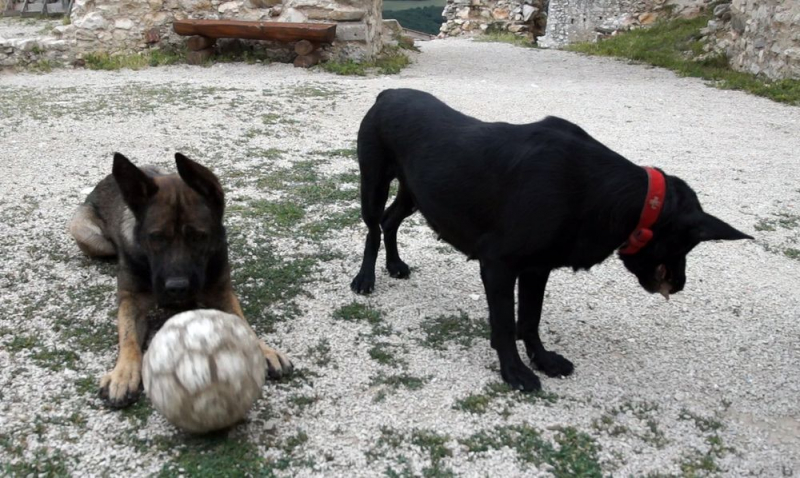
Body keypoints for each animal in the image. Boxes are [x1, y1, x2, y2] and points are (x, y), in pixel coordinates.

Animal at [69, 153, 292, 408]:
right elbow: (129, 338)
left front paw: (265, 350)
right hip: (88, 234)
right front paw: (123, 373)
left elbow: (243, 324)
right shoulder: (131, 301)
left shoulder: (220, 293)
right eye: (155, 238)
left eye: (199, 237)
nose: (177, 288)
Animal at [350, 89, 752, 392]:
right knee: (373, 227)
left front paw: (542, 359)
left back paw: (394, 265)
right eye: (686, 245)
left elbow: (530, 319)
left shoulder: (536, 268)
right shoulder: (498, 265)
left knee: (390, 221)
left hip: (415, 192)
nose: (681, 284)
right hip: (374, 180)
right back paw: (366, 278)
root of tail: (388, 93)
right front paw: (514, 371)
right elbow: (505, 324)